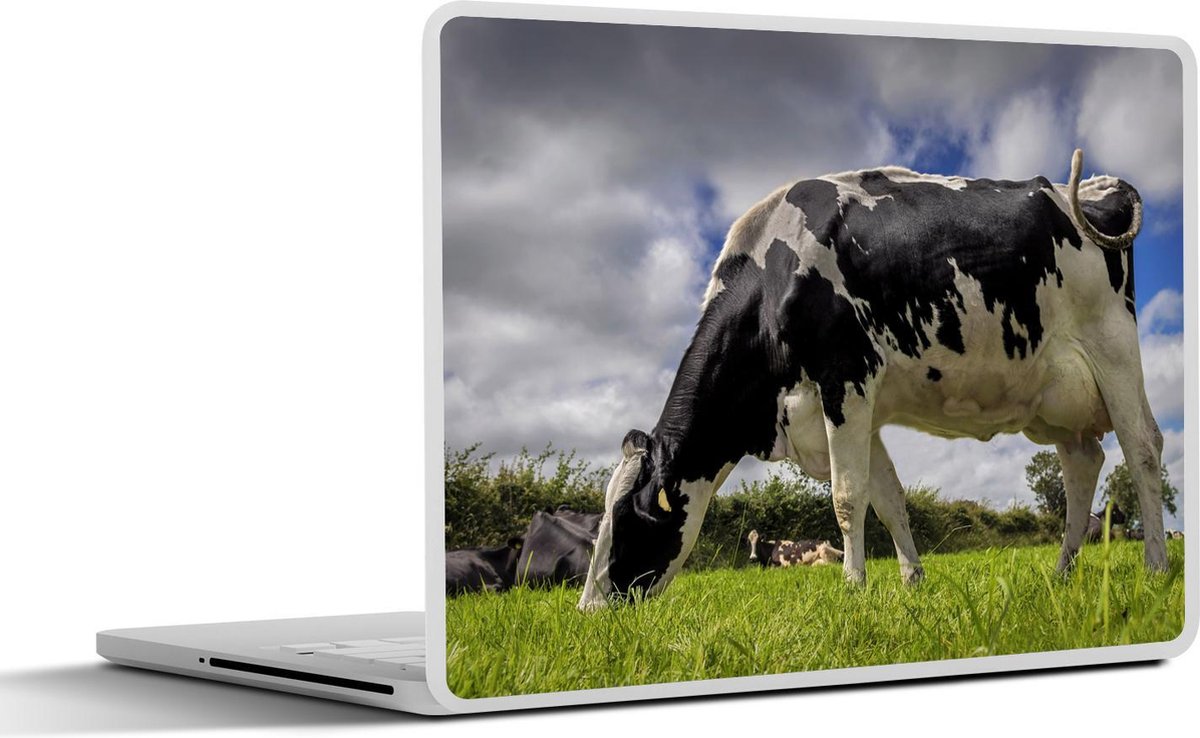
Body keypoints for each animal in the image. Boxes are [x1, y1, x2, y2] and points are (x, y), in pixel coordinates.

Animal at [579, 149, 1166, 610]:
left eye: (630, 519)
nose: (588, 611)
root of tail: (1089, 188)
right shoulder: (849, 408)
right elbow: (888, 498)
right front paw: (911, 581)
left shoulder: (846, 377)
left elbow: (847, 495)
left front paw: (853, 587)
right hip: (1057, 399)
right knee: (1083, 464)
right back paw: (1062, 572)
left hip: (1112, 344)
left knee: (1142, 448)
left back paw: (1156, 566)